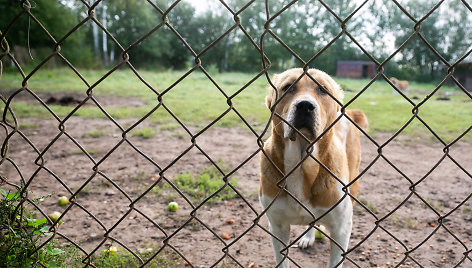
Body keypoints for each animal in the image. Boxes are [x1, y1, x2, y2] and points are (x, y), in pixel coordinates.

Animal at [258, 68, 368, 266]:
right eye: (288, 87)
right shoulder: (277, 227)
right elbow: (282, 261)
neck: (302, 162)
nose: (305, 106)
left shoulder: (341, 229)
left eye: (322, 90)